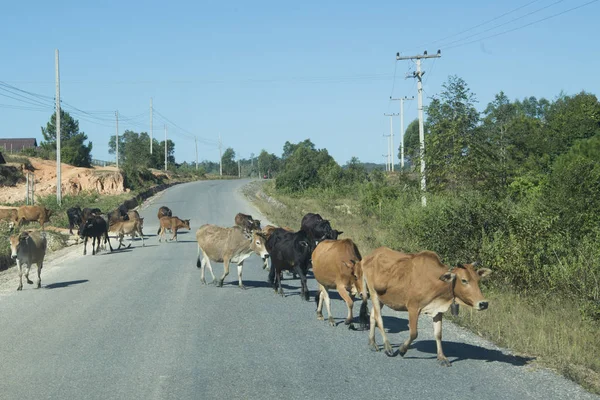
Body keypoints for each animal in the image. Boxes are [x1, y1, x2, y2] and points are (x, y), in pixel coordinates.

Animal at [360, 248, 492, 368]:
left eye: (478, 280)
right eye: (464, 280)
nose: (483, 303)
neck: (437, 282)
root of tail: (369, 256)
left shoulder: (438, 311)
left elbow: (438, 334)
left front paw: (441, 357)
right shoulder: (413, 308)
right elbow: (414, 333)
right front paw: (402, 349)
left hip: (381, 298)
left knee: (373, 316)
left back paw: (372, 343)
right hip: (373, 292)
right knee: (379, 319)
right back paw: (388, 347)